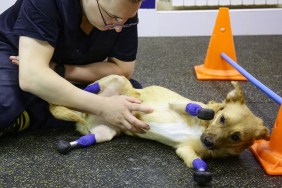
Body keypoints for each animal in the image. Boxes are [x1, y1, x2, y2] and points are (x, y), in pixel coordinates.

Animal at [49, 74, 270, 184]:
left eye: (235, 137)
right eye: (222, 119)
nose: (207, 141)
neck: (203, 131)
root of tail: (84, 114)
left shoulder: (184, 150)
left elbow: (197, 163)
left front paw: (202, 172)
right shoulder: (176, 104)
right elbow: (196, 108)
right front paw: (206, 111)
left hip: (105, 133)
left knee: (86, 137)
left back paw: (67, 144)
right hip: (116, 80)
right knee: (85, 91)